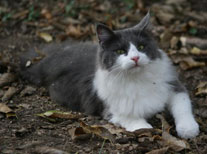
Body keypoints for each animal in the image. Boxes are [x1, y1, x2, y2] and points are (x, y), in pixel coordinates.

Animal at [20, 12, 199, 139]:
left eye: (141, 47)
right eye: (120, 51)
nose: (135, 58)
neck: (136, 78)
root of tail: (53, 57)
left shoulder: (174, 87)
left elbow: (183, 108)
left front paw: (188, 129)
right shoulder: (111, 108)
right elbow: (132, 119)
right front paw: (146, 128)